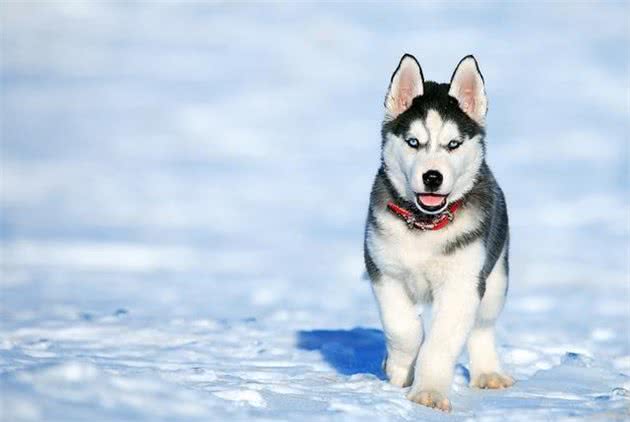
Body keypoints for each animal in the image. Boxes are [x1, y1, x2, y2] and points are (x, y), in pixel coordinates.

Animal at [366, 54, 512, 410]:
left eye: (453, 144)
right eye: (413, 142)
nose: (432, 177)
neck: (425, 226)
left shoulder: (463, 284)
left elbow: (441, 342)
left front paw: (428, 391)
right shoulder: (384, 271)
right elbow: (403, 328)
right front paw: (399, 367)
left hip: (495, 277)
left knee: (482, 326)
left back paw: (488, 373)